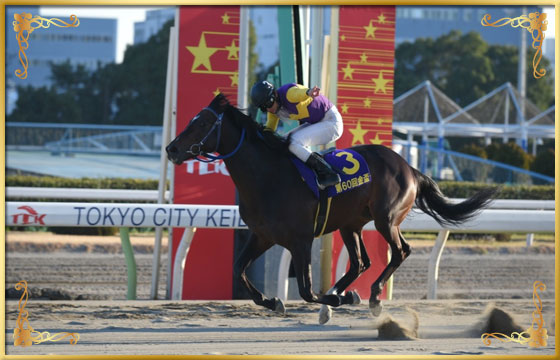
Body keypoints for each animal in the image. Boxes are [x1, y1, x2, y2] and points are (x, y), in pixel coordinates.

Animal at [165, 93, 494, 320]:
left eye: (203, 123)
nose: (171, 149)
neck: (268, 177)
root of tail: (410, 168)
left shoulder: (300, 239)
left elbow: (307, 291)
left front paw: (337, 300)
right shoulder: (263, 236)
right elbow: (238, 270)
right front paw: (274, 301)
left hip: (386, 219)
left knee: (400, 251)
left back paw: (371, 297)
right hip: (351, 225)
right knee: (360, 262)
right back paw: (342, 292)